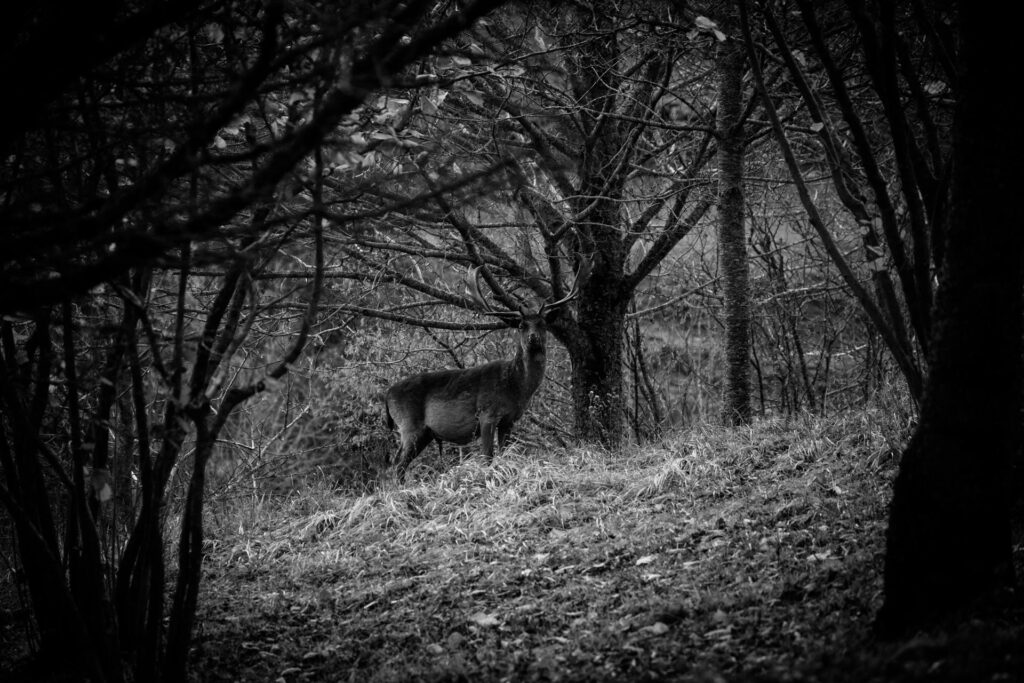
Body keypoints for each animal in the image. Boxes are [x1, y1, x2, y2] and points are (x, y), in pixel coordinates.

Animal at [385, 259, 593, 479]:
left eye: (543, 324)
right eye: (521, 325)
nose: (533, 338)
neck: (515, 387)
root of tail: (387, 394)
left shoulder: (509, 420)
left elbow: (504, 454)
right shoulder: (486, 414)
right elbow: (487, 457)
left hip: (425, 433)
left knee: (399, 464)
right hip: (409, 425)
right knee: (397, 464)